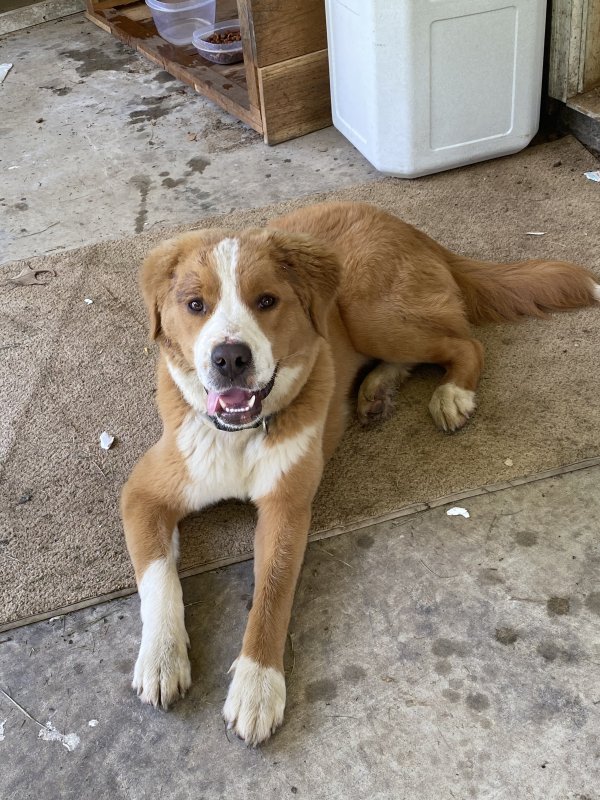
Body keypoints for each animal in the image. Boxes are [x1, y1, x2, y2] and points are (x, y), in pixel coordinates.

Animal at [123, 198, 600, 744]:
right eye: (195, 305)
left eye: (266, 300)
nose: (229, 358)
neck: (239, 434)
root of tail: (403, 224)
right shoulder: (143, 494)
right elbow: (158, 578)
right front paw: (161, 658)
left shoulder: (288, 508)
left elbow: (272, 592)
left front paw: (257, 684)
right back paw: (375, 391)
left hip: (373, 314)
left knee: (466, 344)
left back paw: (451, 394)